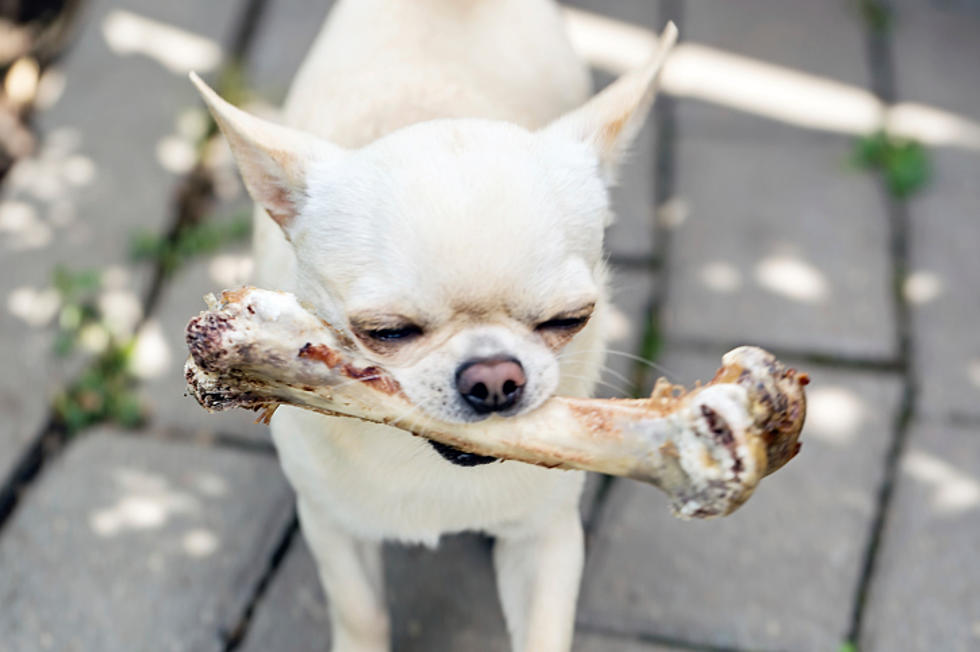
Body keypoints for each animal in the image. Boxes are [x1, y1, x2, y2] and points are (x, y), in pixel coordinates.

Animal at [191, 2, 672, 648]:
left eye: (569, 319)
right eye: (386, 331)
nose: (494, 377)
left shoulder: (546, 537)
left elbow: (545, 630)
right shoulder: (329, 524)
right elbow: (359, 610)